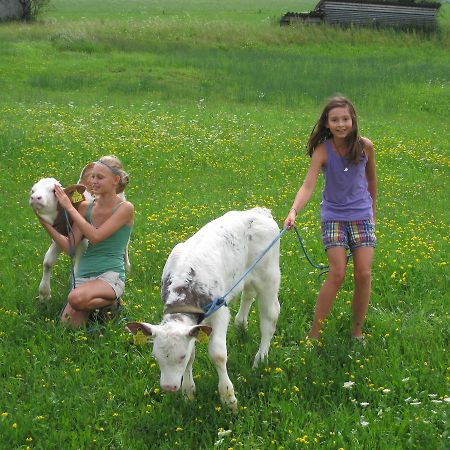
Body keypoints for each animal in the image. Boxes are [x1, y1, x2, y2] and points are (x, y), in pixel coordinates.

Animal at [126, 207, 280, 412]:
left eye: (181, 357)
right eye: (156, 357)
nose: (168, 387)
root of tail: (259, 211)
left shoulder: (220, 312)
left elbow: (218, 354)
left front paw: (228, 398)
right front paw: (188, 392)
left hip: (268, 277)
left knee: (270, 318)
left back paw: (261, 359)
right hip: (246, 275)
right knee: (248, 294)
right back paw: (241, 325)